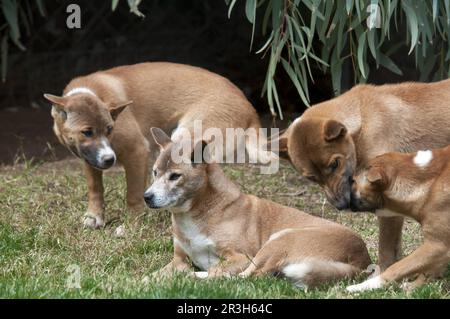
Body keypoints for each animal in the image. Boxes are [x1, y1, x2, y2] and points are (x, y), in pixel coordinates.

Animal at [42, 61, 268, 229]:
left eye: (110, 129)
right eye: (87, 132)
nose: (109, 160)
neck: (95, 92)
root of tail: (249, 108)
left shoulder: (136, 152)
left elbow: (133, 195)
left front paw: (131, 227)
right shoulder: (89, 158)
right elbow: (95, 188)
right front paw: (94, 216)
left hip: (186, 137)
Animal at [145, 128, 372, 290]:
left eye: (175, 176)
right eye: (155, 172)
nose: (147, 197)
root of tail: (361, 261)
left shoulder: (241, 257)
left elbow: (220, 271)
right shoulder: (179, 259)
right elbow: (155, 274)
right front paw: (146, 280)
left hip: (280, 239)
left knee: (242, 277)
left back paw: (192, 277)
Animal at [346, 148, 450, 292]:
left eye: (353, 181)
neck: (429, 183)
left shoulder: (437, 245)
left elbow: (396, 268)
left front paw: (363, 286)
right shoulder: (437, 248)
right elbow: (428, 270)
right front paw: (415, 286)